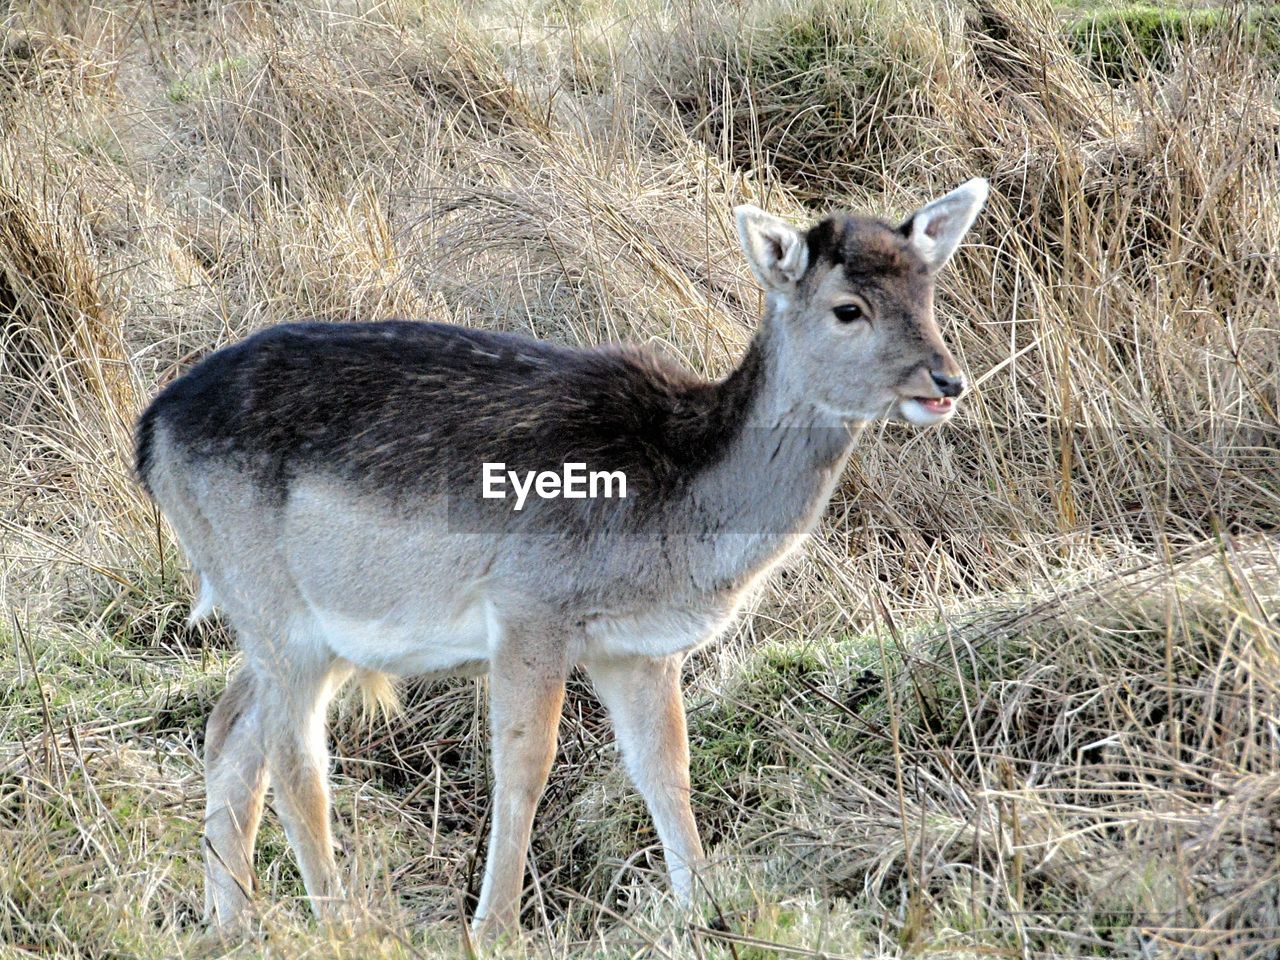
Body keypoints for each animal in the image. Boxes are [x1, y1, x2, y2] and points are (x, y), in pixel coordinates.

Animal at [132, 179, 988, 942]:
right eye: (848, 308)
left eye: (929, 292)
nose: (947, 380)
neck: (679, 517)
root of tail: (151, 431)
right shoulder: (529, 605)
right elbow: (525, 762)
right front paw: (494, 927)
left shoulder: (636, 649)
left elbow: (664, 766)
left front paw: (707, 910)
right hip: (272, 601)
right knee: (295, 758)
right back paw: (342, 922)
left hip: (299, 622)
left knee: (229, 728)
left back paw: (233, 923)